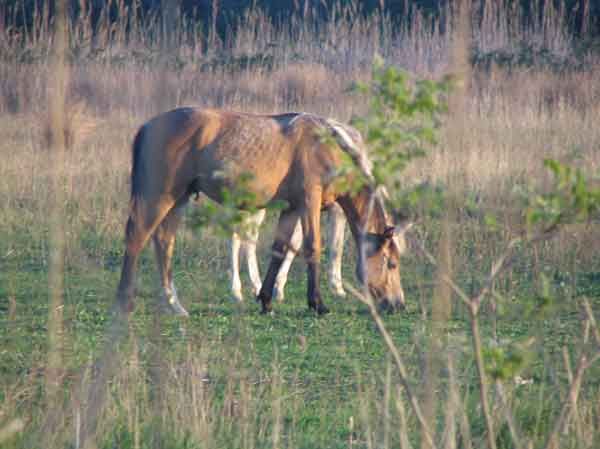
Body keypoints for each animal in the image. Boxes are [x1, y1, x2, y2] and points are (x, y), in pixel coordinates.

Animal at [115, 107, 410, 316]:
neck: (327, 146)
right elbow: (312, 247)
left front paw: (266, 300)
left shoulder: (291, 209)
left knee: (164, 242)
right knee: (137, 237)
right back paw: (125, 300)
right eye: (391, 263)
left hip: (179, 199)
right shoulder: (309, 202)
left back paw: (173, 304)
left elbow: (280, 250)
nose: (398, 304)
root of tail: (148, 126)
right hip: (160, 197)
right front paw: (317, 303)